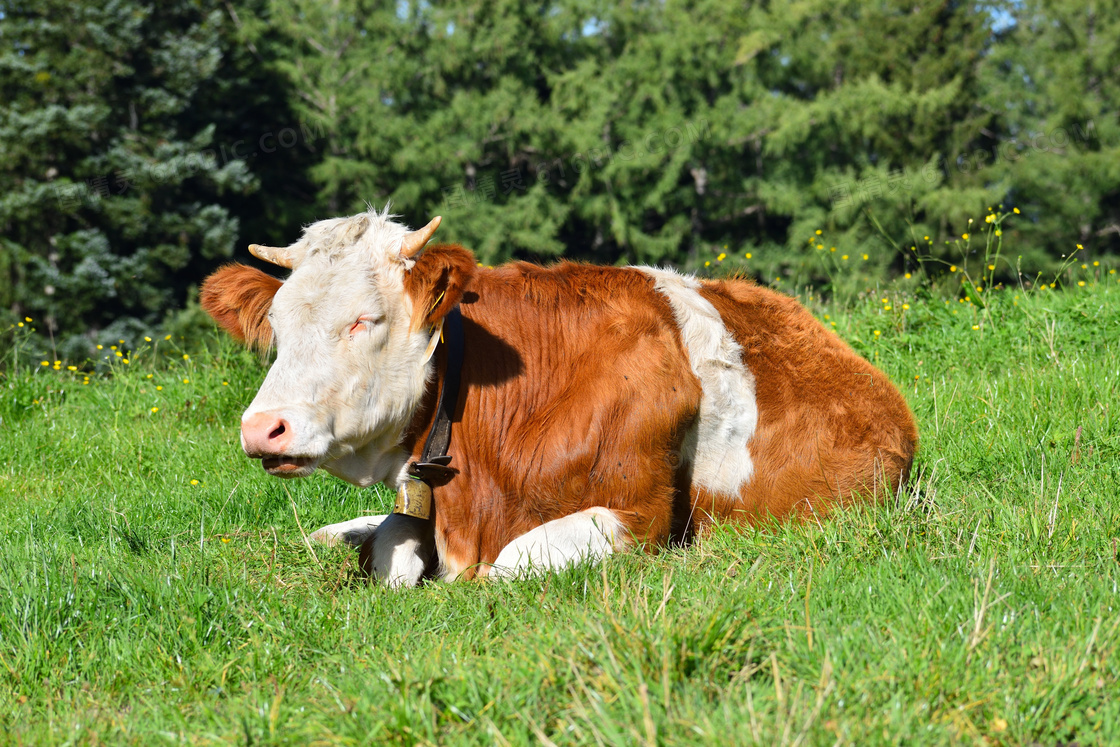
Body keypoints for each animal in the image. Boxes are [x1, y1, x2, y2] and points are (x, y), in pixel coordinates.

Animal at [201, 207, 918, 586]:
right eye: (278, 325)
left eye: (362, 320)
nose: (263, 428)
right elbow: (391, 542)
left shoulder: (643, 517)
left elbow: (507, 564)